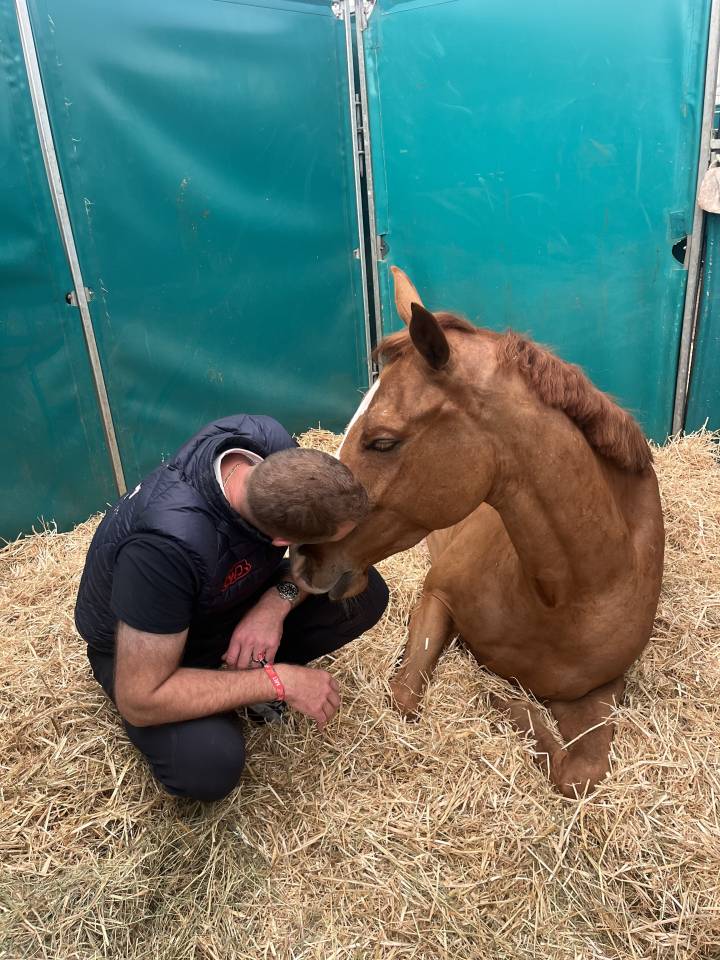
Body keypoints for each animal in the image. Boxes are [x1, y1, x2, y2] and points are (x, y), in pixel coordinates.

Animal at [291, 267, 665, 797]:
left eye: (382, 441)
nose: (302, 558)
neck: (570, 595)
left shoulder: (603, 689)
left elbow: (581, 773)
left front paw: (508, 703)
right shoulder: (437, 594)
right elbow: (403, 694)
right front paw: (500, 700)